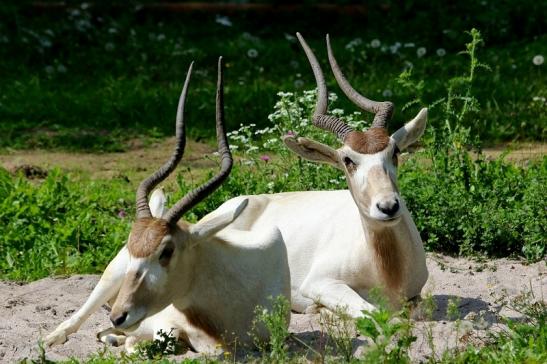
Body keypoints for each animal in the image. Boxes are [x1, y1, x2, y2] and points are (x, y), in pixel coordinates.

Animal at [212, 34, 430, 318]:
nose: (388, 206)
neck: (387, 271)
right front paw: (320, 309)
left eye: (394, 152)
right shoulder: (319, 283)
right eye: (348, 160)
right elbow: (369, 311)